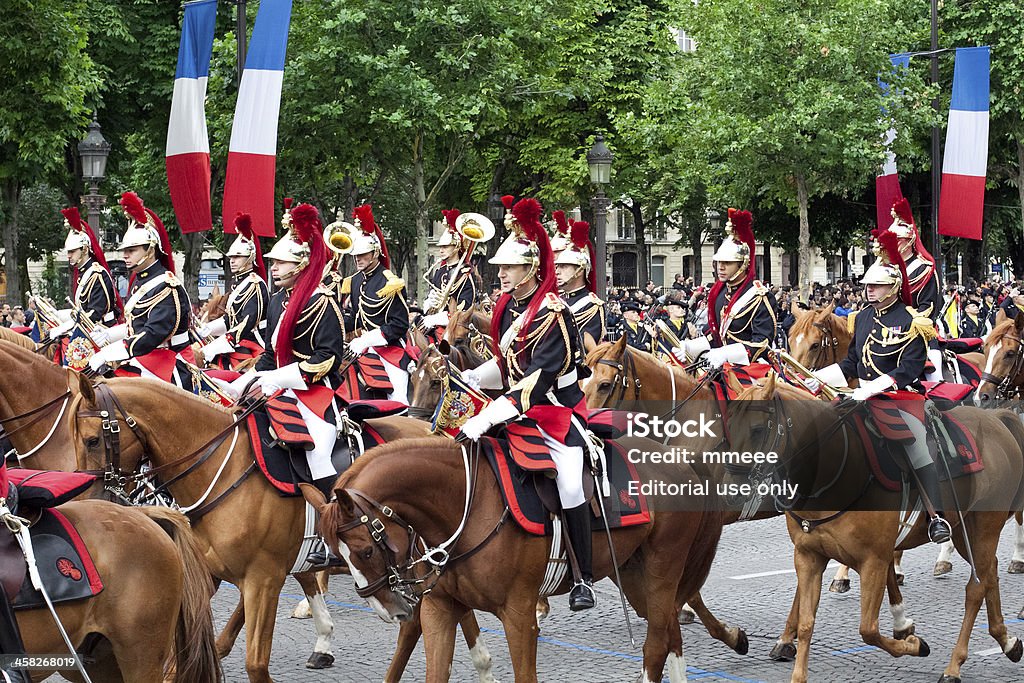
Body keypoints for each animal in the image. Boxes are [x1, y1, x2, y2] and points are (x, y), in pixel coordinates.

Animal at [317, 438, 720, 683]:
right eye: (337, 555)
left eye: (366, 551)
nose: (389, 610)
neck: (466, 506)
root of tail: (683, 464)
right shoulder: (440, 610)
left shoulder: (519, 616)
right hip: (636, 579)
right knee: (670, 632)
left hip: (661, 570)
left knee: (656, 644)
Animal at [724, 374, 1024, 683]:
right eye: (728, 428)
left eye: (758, 429)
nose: (731, 492)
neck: (836, 470)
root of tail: (996, 421)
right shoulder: (808, 556)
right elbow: (808, 623)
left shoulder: (874, 562)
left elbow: (868, 630)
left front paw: (914, 643)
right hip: (966, 531)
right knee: (989, 572)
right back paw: (1008, 641)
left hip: (985, 527)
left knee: (975, 588)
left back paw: (954, 665)